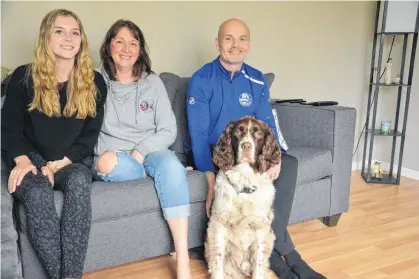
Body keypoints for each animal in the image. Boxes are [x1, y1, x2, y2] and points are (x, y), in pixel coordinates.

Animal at [206, 116, 282, 279]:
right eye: (238, 132)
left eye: (258, 134)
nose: (246, 145)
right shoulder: (218, 224)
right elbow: (217, 260)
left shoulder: (260, 228)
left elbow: (259, 262)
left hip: (270, 237)